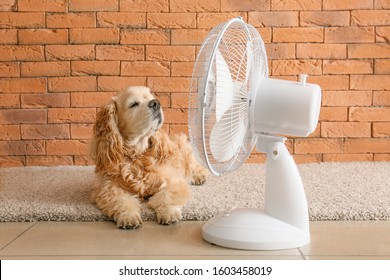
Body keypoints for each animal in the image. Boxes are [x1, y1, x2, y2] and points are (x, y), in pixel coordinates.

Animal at [90, 86, 209, 229]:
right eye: (133, 104)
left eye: (150, 98)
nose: (156, 103)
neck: (137, 155)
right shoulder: (108, 188)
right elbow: (122, 201)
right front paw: (128, 217)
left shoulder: (173, 182)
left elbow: (166, 196)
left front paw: (168, 213)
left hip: (185, 147)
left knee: (195, 165)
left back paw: (199, 176)